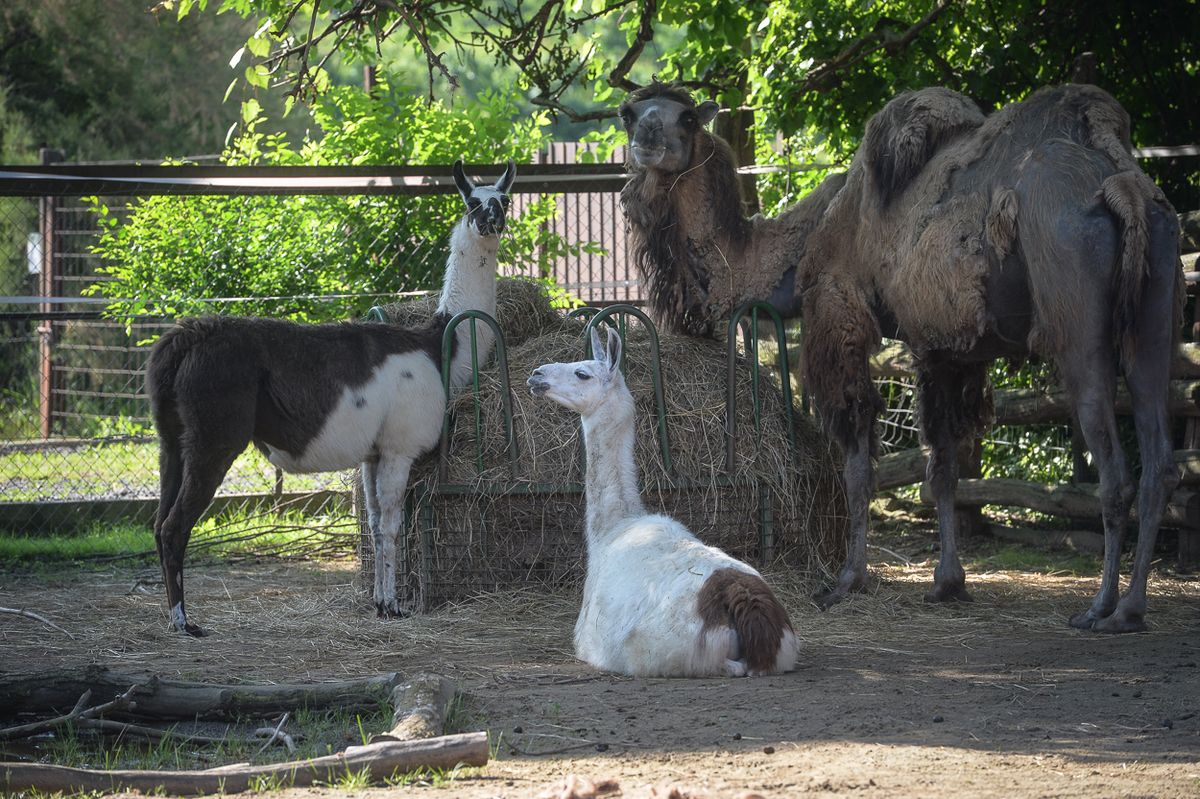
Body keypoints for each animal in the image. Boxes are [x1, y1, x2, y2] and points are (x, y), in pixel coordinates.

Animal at [619, 79, 1180, 628]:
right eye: (630, 112)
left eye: (685, 117)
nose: (645, 138)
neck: (802, 242)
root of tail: (1124, 186)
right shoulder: (943, 344)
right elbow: (943, 469)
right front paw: (947, 584)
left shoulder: (837, 309)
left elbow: (857, 462)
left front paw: (846, 580)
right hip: (1155, 311)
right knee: (1160, 460)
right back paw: (1131, 608)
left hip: (1077, 321)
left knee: (1114, 471)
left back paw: (1100, 608)